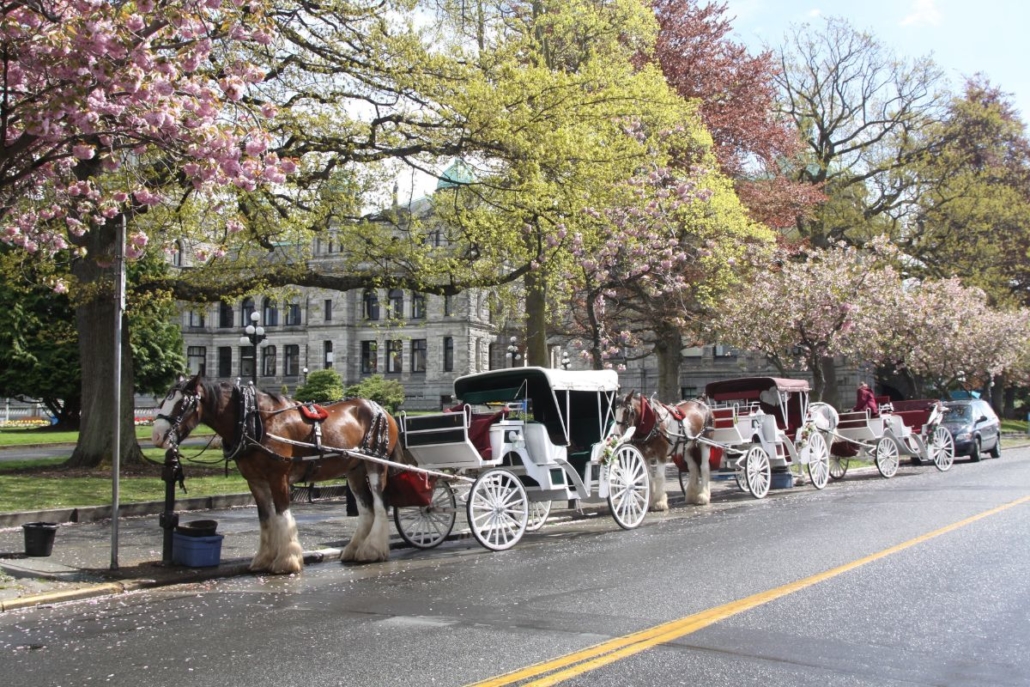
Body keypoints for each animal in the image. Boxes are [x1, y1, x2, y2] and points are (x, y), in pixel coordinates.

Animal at [152, 376, 401, 576]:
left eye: (183, 403)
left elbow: (282, 515)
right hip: (354, 470)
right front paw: (263, 559)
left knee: (380, 504)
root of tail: (381, 409)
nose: (156, 436)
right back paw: (356, 549)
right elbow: (265, 518)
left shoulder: (278, 476)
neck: (254, 422)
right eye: (164, 400)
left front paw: (286, 561)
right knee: (366, 508)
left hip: (376, 465)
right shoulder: (255, 481)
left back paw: (373, 549)